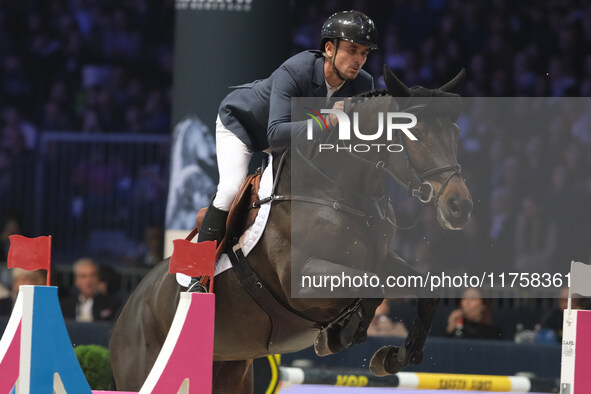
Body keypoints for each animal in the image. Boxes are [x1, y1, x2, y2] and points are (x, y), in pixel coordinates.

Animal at [110, 66, 472, 392]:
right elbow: (371, 285)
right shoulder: (302, 278)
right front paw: (339, 336)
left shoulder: (381, 261)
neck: (337, 192)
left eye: (455, 134)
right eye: (414, 134)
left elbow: (425, 291)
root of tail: (129, 307)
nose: (460, 207)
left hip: (228, 370)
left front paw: (394, 357)